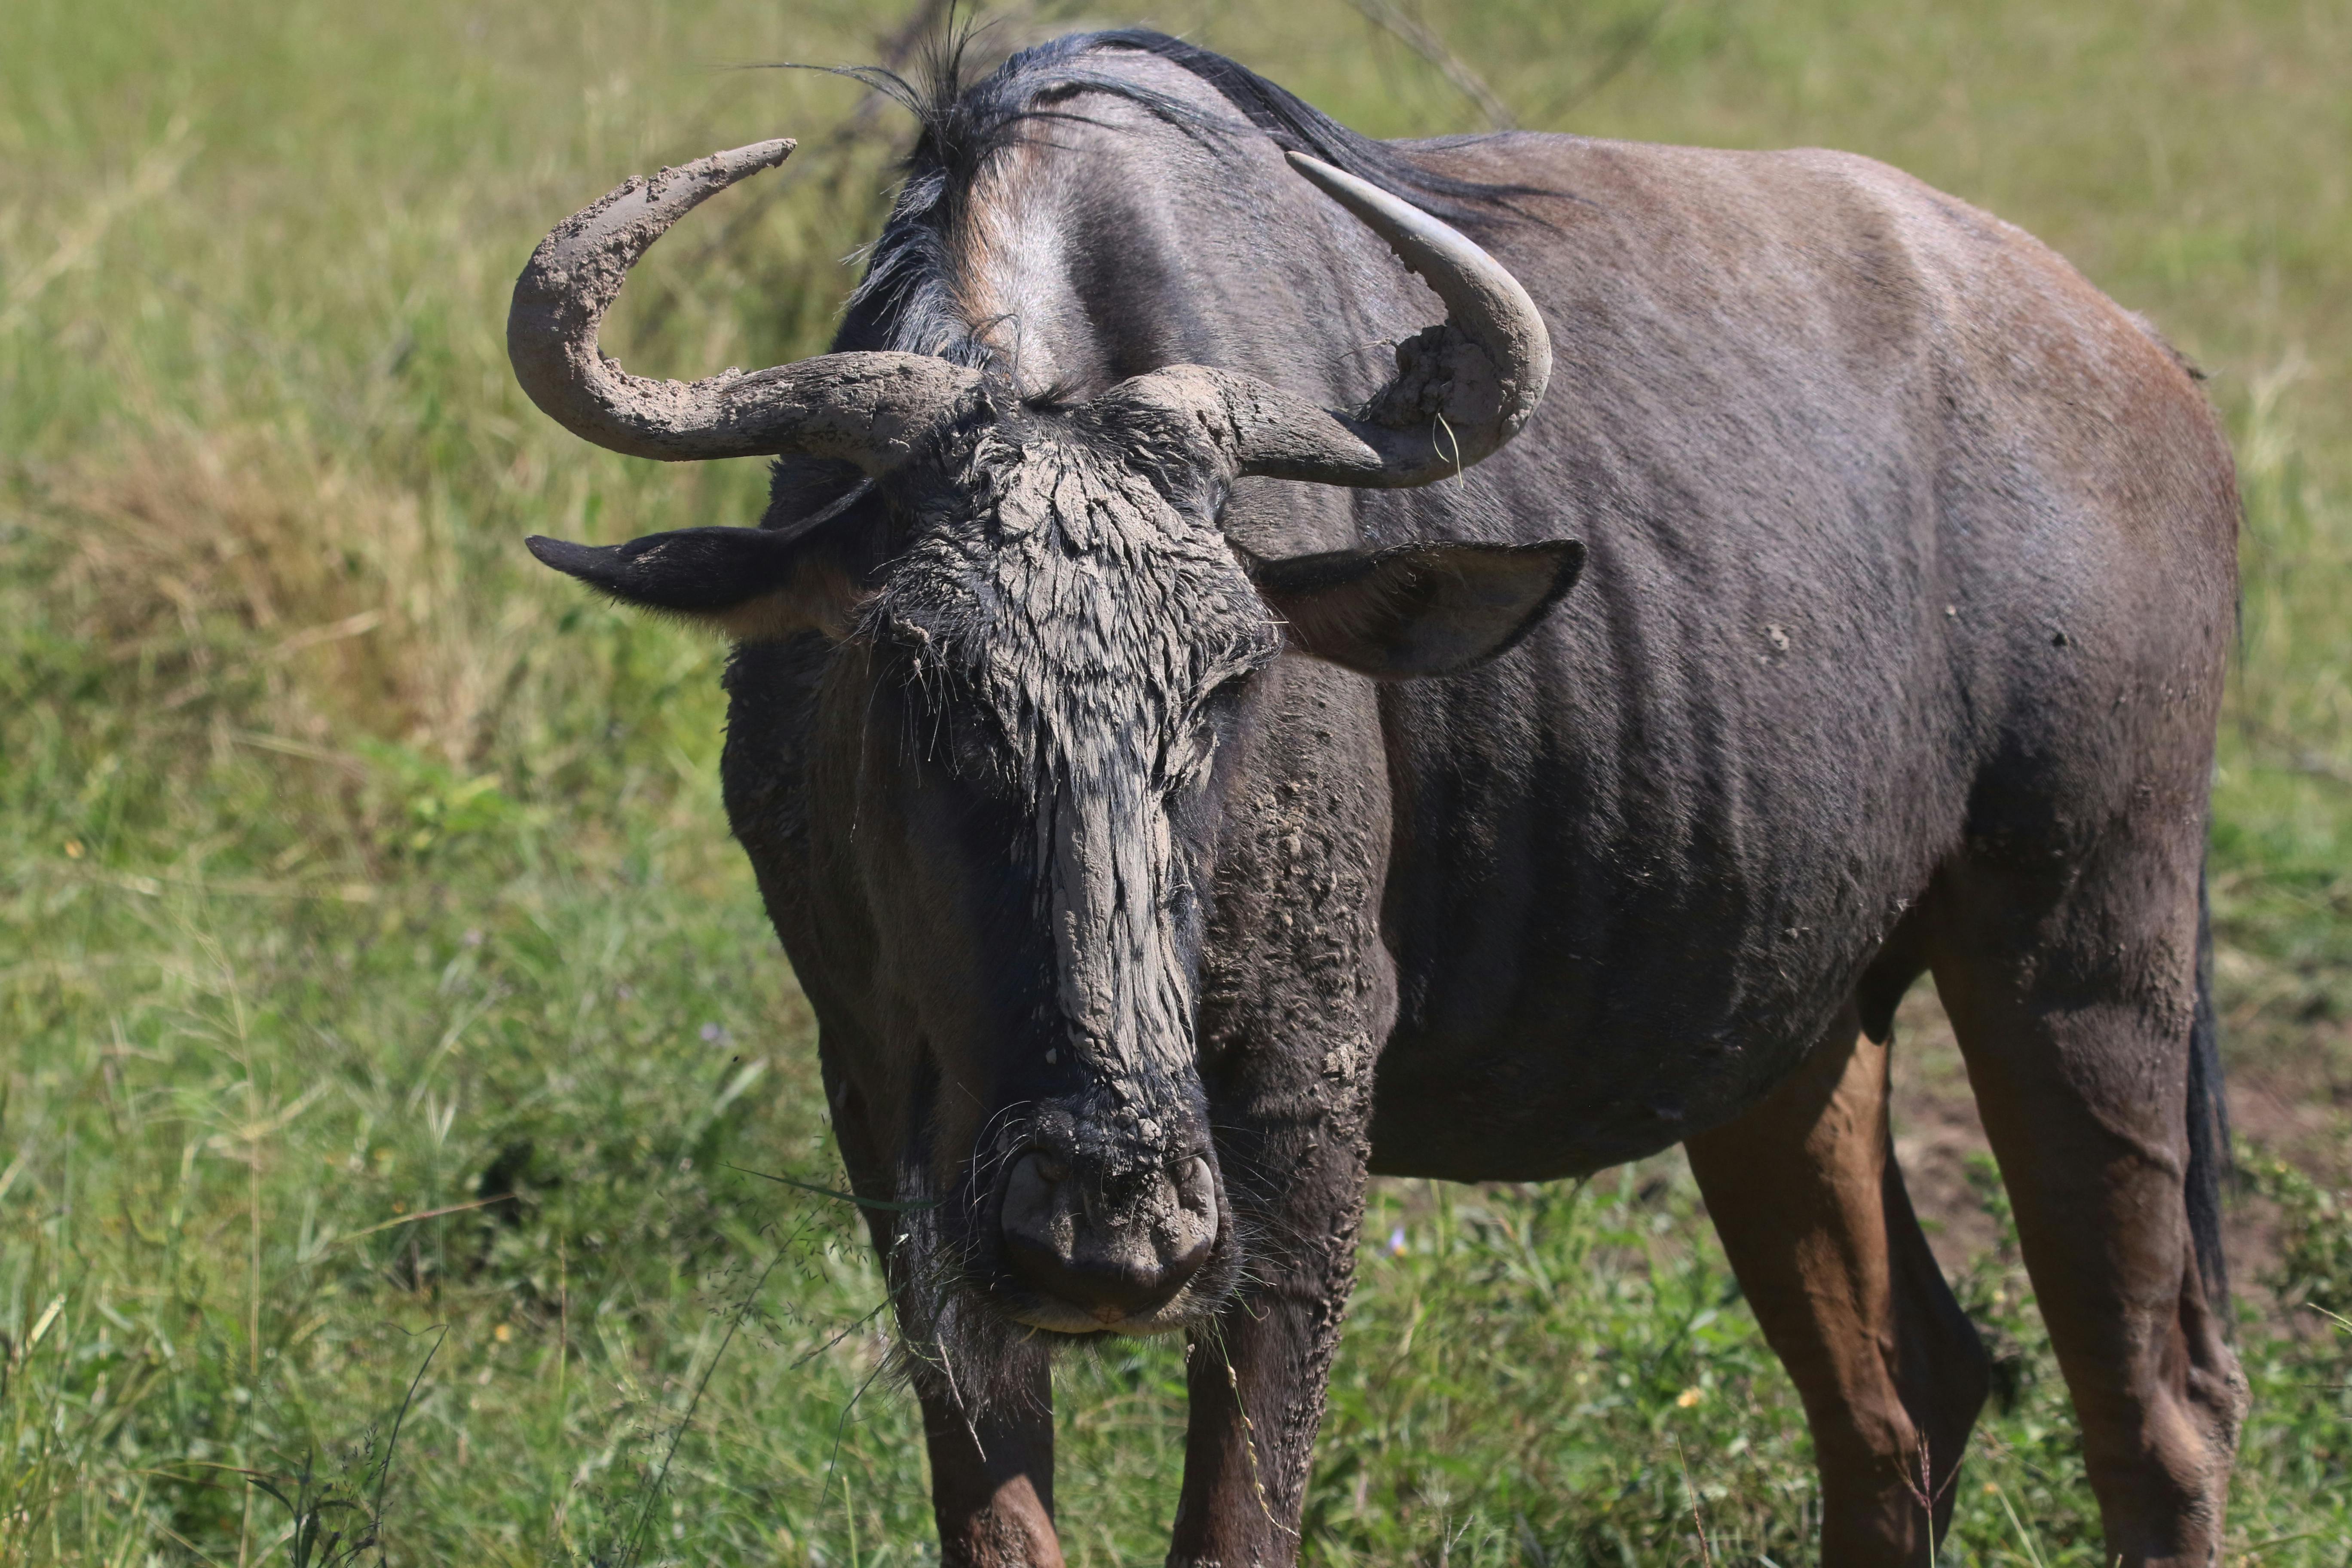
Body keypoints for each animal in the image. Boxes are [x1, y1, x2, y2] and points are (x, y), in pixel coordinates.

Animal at [510, 31, 2243, 1567]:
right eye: (910, 670)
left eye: (1228, 679)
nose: (1108, 1230)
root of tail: (2148, 368)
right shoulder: (889, 1107)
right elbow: (997, 1524)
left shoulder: (1305, 1089)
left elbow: (1238, 1525)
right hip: (1799, 1037)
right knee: (1904, 1400)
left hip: (2084, 953)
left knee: (2153, 1417)